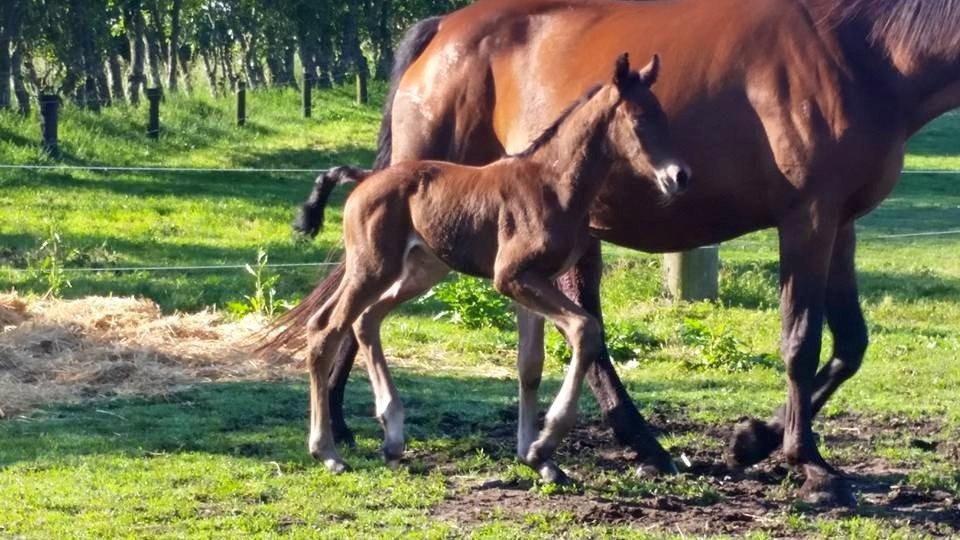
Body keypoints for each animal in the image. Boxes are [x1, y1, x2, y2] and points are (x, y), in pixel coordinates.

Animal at [304, 54, 688, 484]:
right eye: (638, 120)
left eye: (663, 116)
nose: (679, 176)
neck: (555, 184)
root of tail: (365, 178)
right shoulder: (512, 277)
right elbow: (585, 329)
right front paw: (543, 446)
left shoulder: (535, 281)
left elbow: (530, 364)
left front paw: (538, 459)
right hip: (372, 266)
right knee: (325, 329)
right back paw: (327, 452)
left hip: (420, 270)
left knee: (365, 319)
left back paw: (392, 437)